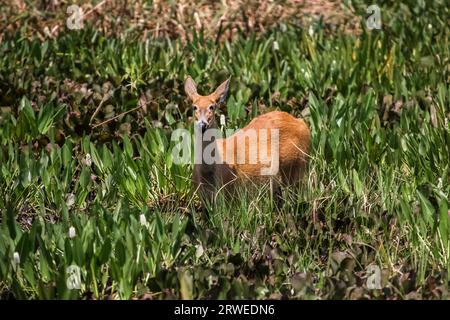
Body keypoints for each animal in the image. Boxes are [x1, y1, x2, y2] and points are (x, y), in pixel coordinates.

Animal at [185, 75, 312, 205]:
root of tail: (302, 123)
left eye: (212, 106)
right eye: (194, 107)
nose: (203, 124)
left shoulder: (230, 195)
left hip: (296, 165)